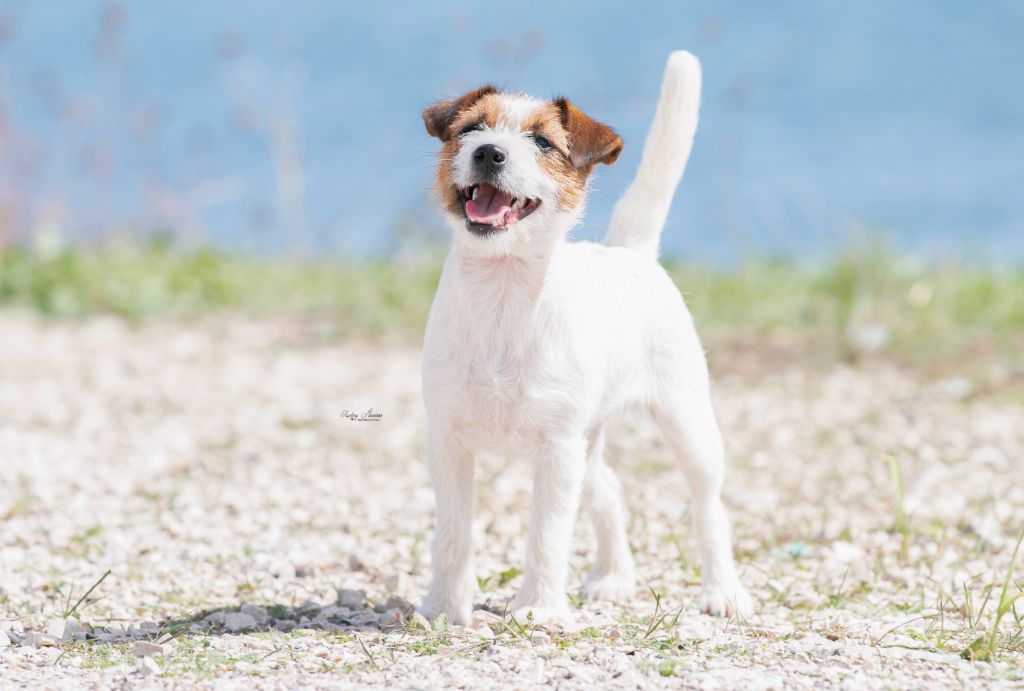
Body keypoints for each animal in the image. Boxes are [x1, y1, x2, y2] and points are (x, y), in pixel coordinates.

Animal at [415, 52, 753, 626]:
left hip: (685, 423)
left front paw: (538, 608)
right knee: (610, 490)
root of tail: (630, 252)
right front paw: (444, 606)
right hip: (587, 443)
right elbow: (453, 535)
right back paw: (615, 578)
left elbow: (548, 537)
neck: (503, 294)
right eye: (471, 129)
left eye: (543, 142)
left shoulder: (556, 451)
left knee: (709, 507)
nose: (488, 152)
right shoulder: (449, 442)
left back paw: (721, 591)